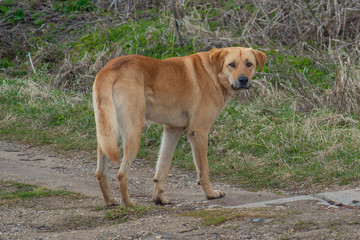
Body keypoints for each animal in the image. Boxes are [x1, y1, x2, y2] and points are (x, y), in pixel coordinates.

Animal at [93, 47, 266, 206]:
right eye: (232, 64)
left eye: (249, 64)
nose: (243, 80)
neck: (213, 72)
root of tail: (110, 68)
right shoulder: (199, 132)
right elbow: (203, 170)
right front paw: (210, 194)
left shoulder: (172, 130)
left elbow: (163, 168)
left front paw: (159, 198)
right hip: (134, 133)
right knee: (122, 173)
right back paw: (129, 203)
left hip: (106, 134)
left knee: (100, 172)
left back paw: (110, 200)